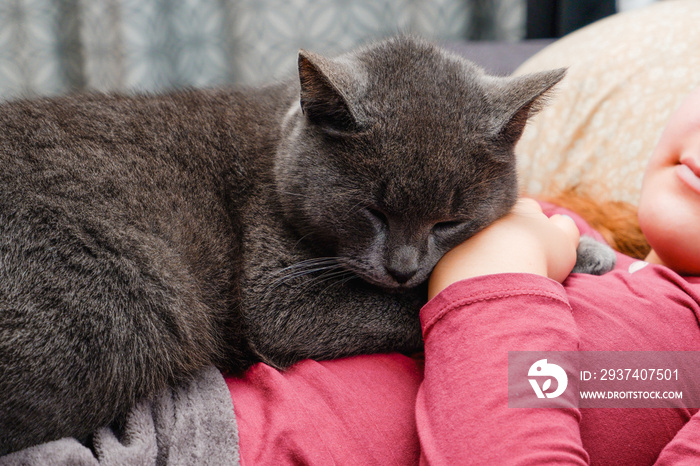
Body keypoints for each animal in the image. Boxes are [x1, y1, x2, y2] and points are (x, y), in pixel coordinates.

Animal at [0, 37, 608, 456]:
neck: (277, 142)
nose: (403, 267)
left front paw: (590, 250)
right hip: (129, 309)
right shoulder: (277, 297)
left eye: (449, 221)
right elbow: (406, 307)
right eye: (373, 211)